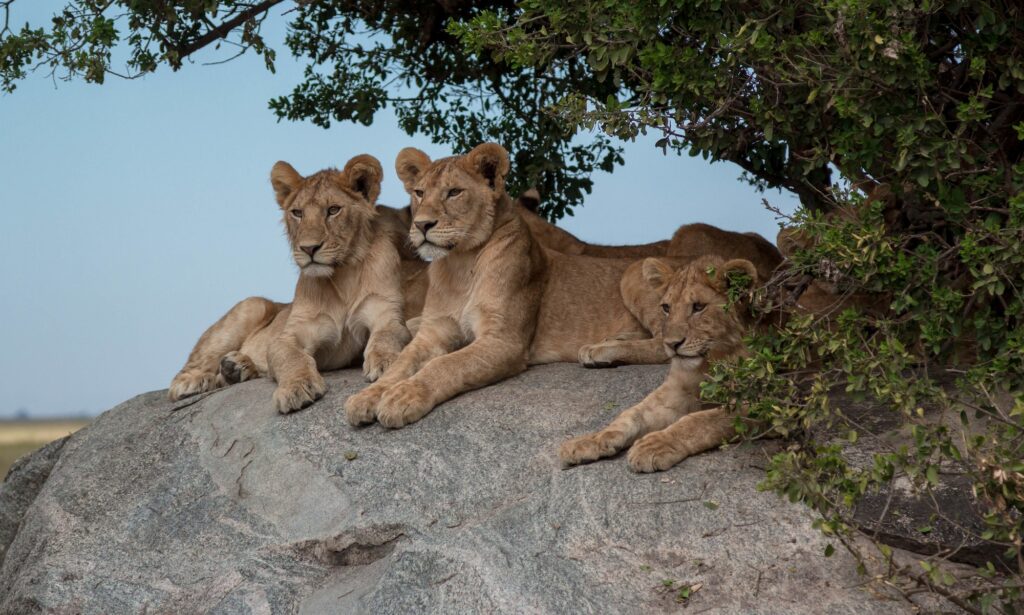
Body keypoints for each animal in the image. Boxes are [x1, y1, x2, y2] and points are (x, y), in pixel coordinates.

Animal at [165, 153, 413, 413]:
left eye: (333, 210)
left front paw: (387, 363)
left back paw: (236, 368)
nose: (309, 248)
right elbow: (291, 358)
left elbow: (387, 336)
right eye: (297, 213)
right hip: (253, 305)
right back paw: (192, 381)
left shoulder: (385, 313)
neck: (341, 274)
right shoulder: (291, 335)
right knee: (193, 365)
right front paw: (296, 388)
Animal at [561, 253, 770, 470]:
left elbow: (704, 420)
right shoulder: (677, 390)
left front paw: (655, 445)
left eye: (699, 307)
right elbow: (632, 414)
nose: (672, 344)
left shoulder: (764, 401)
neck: (712, 360)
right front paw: (589, 441)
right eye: (667, 308)